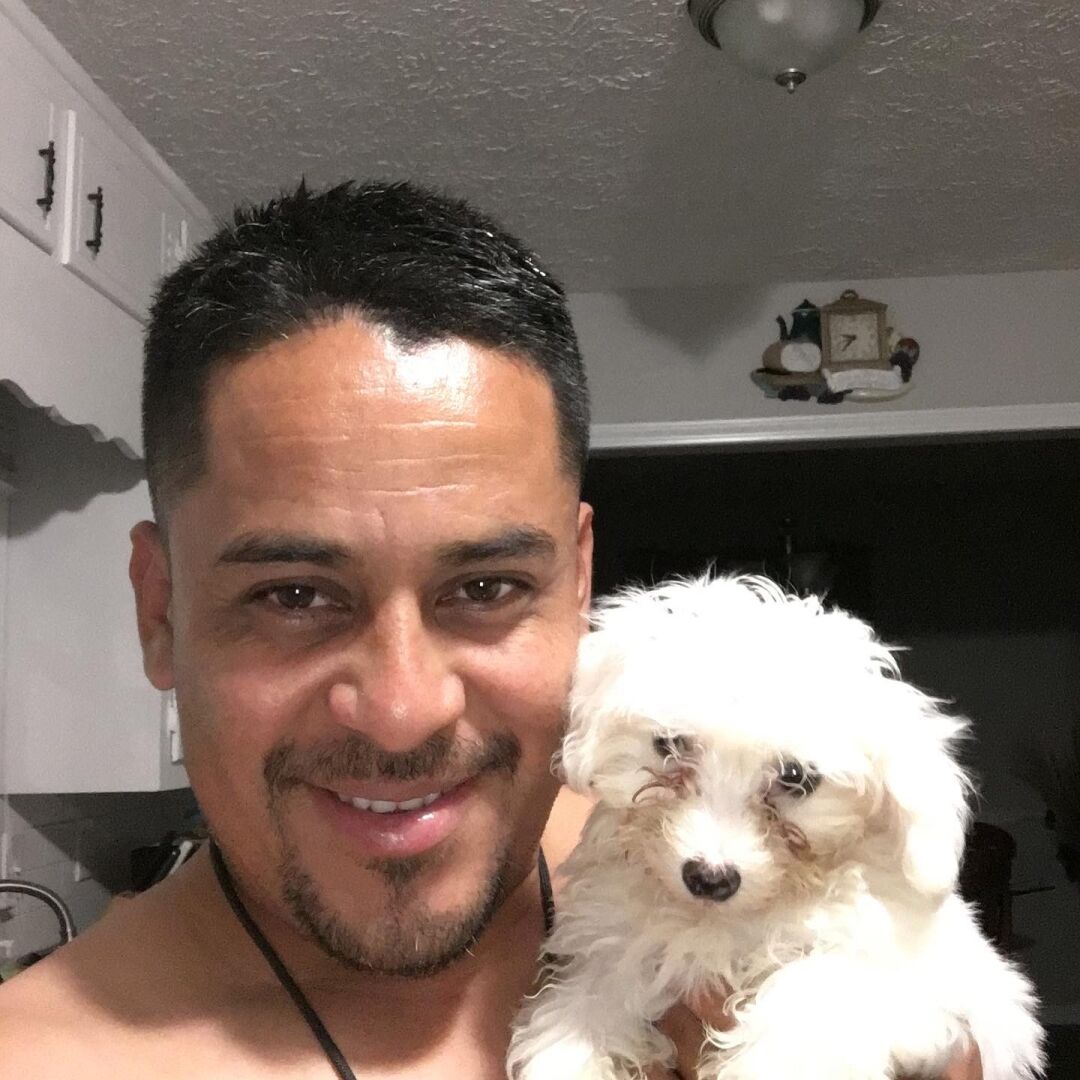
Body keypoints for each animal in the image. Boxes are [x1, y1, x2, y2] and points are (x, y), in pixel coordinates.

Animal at [508, 575, 1044, 1080]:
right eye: (671, 745)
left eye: (796, 778)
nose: (710, 878)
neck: (729, 923)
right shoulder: (619, 944)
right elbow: (590, 1001)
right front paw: (568, 1052)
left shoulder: (920, 982)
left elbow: (816, 991)